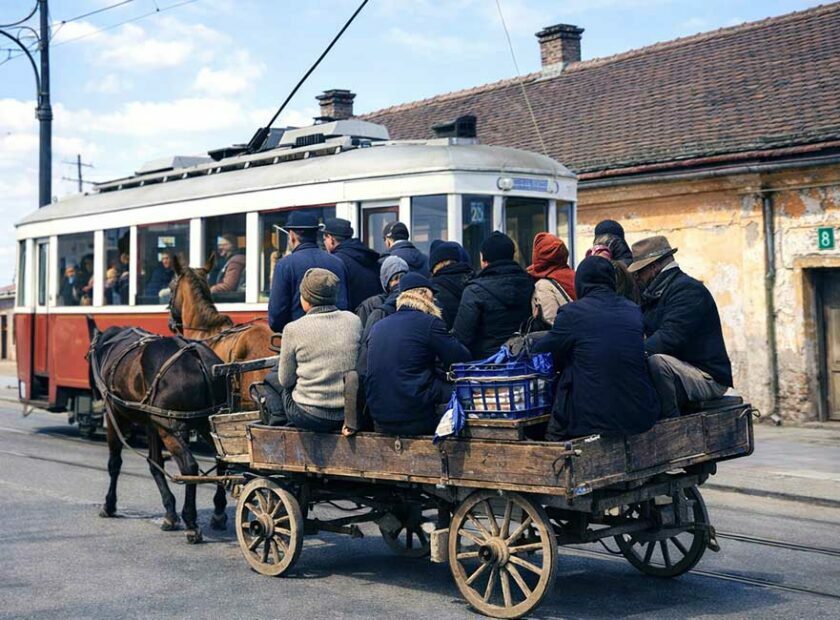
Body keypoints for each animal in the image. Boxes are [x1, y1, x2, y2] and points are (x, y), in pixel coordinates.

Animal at [86, 318, 228, 544]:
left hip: (170, 428)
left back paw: (191, 522)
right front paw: (170, 512)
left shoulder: (114, 414)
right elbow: (155, 464)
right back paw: (218, 512)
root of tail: (197, 356)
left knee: (189, 466)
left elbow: (114, 464)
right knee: (223, 459)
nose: (92, 391)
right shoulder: (152, 424)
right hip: (209, 422)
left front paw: (109, 504)